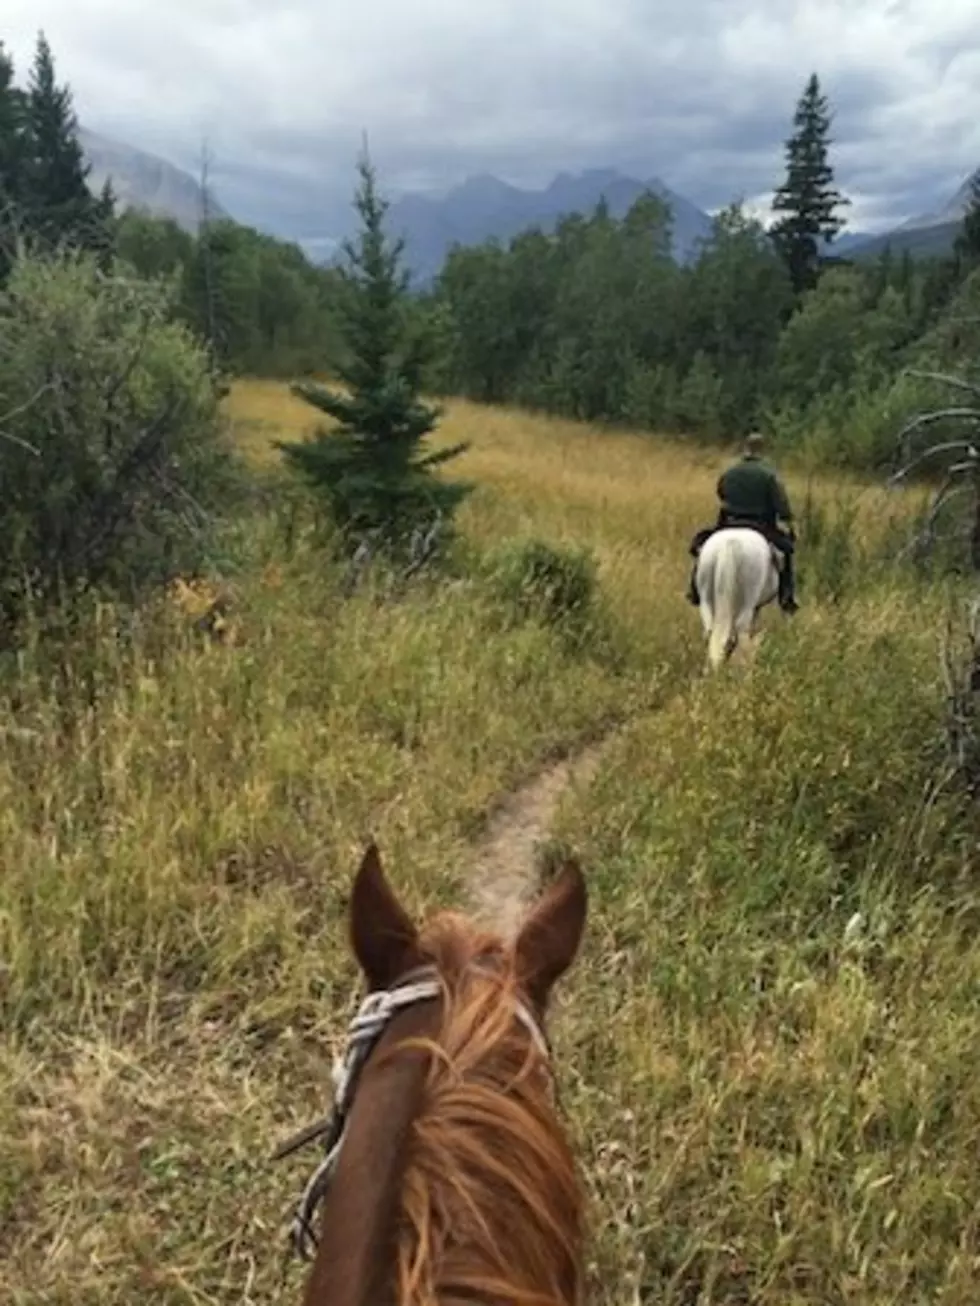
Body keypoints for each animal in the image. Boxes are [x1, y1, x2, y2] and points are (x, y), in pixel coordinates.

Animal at [700, 527, 783, 673]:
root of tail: (730, 543)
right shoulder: (756, 607)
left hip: (705, 597)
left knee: (710, 631)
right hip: (749, 600)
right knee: (741, 629)